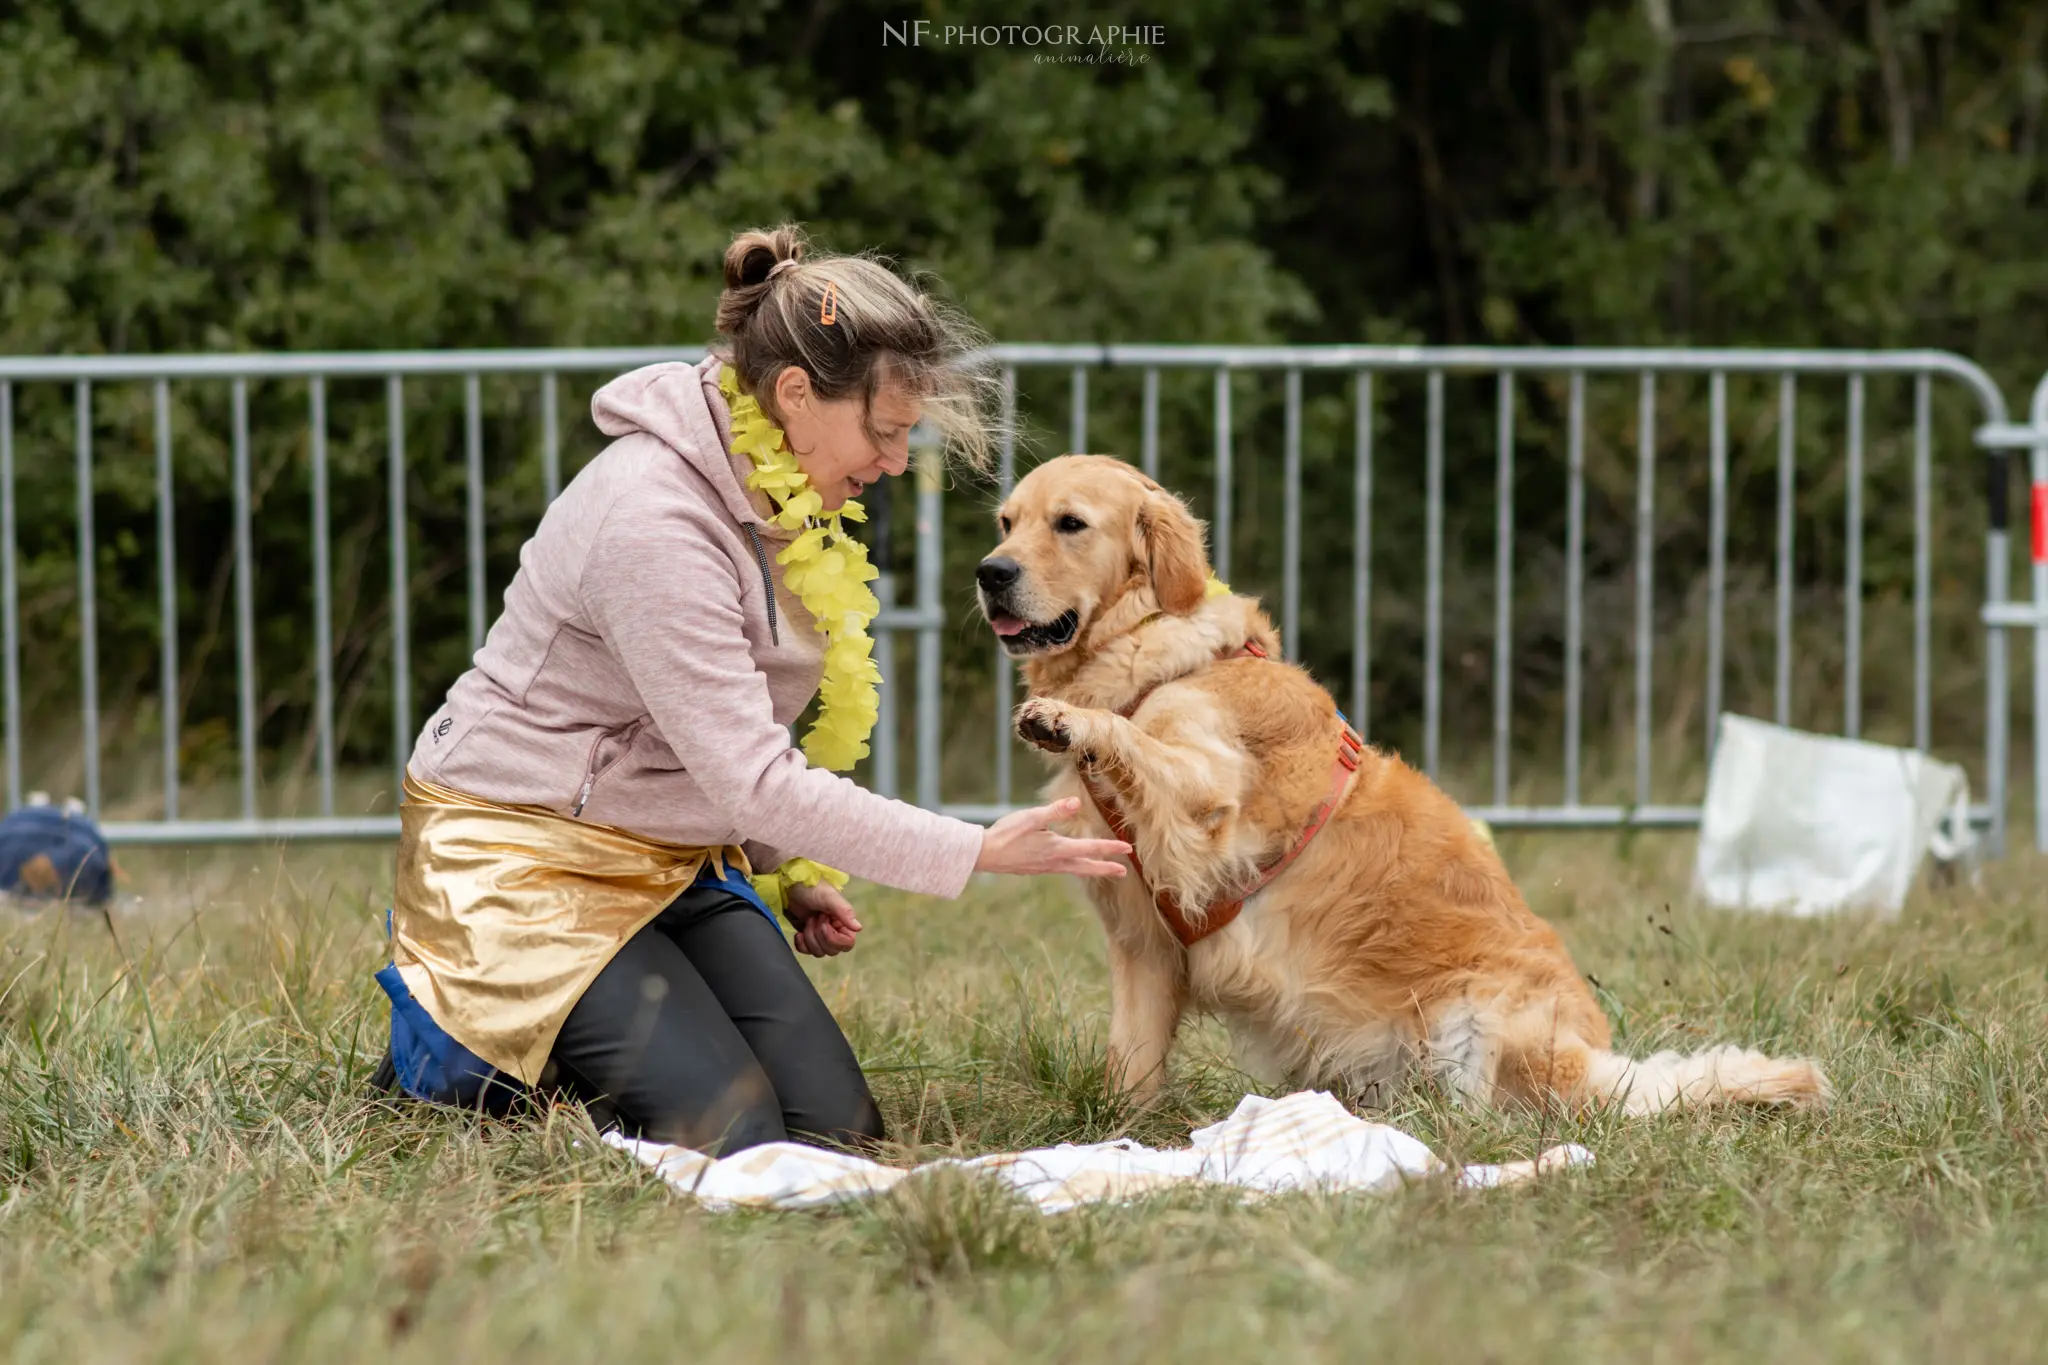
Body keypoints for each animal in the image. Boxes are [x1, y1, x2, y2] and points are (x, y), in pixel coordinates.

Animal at [983, 454, 1835, 1113]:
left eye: (1070, 523)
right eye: (1005, 520)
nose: (990, 572)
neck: (1152, 646)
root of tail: (1601, 1068)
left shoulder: (1208, 803)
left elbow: (1141, 742)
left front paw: (1070, 720)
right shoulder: (1142, 945)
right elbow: (1130, 1064)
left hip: (1481, 1028)